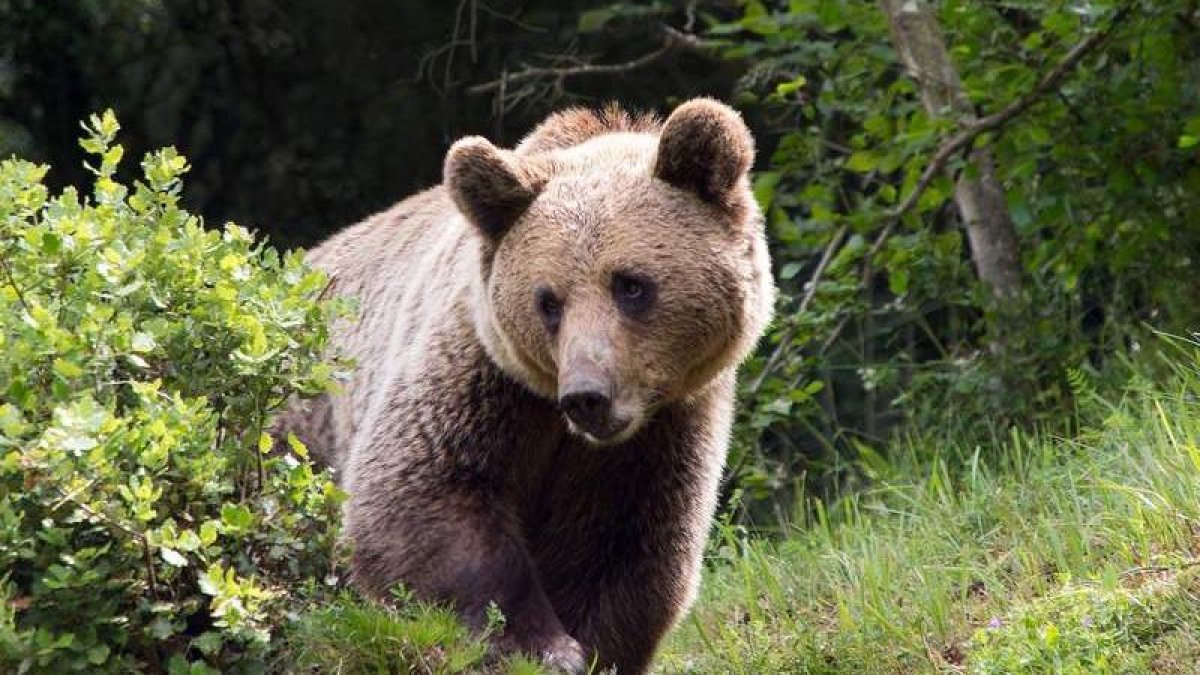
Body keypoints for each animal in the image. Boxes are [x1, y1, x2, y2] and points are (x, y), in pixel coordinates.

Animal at [274, 98, 775, 673]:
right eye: (548, 300)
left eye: (630, 284)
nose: (586, 397)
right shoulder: (481, 377)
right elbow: (424, 493)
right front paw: (543, 646)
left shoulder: (662, 429)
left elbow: (623, 541)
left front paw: (591, 647)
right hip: (300, 426)